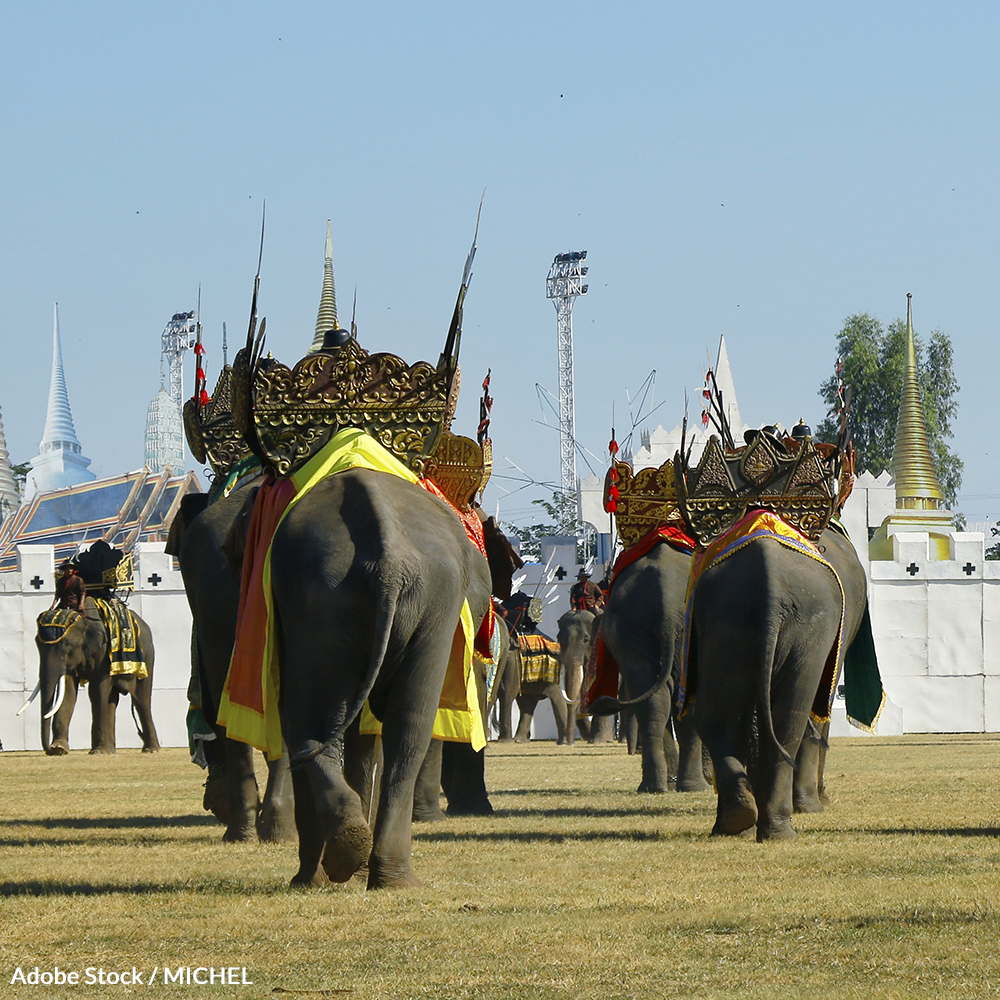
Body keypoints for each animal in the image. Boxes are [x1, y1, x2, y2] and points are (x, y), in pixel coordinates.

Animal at [33, 596, 160, 752]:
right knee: (112, 700)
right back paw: (110, 751)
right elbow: (68, 692)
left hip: (147, 656)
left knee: (141, 700)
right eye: (37, 644)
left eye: (67, 645)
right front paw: (59, 749)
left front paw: (98, 752)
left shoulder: (104, 650)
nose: (49, 749)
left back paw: (150, 749)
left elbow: (97, 690)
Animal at [688, 528, 868, 840]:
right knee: (791, 716)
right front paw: (817, 804)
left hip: (730, 619)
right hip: (808, 630)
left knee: (724, 717)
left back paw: (744, 822)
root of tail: (770, 584)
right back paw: (771, 824)